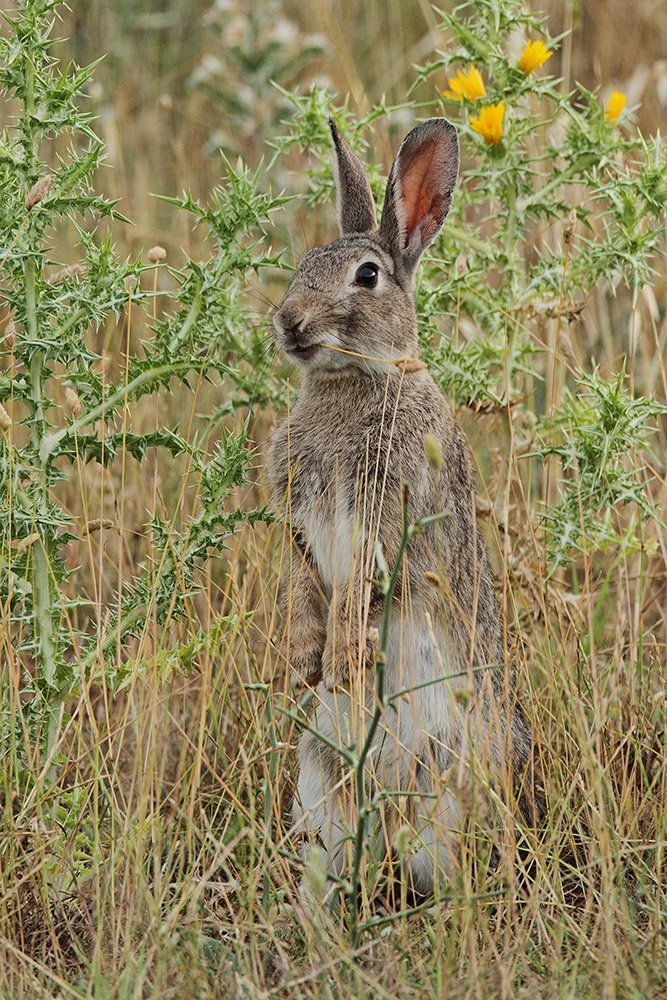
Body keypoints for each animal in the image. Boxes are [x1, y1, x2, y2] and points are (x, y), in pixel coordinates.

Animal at [267, 116, 538, 900]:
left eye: (367, 276)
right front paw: (305, 659)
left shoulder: (385, 512)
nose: (288, 323)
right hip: (319, 782)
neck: (357, 378)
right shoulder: (300, 520)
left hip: (452, 786)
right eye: (303, 261)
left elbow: (360, 584)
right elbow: (302, 579)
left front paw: (343, 656)